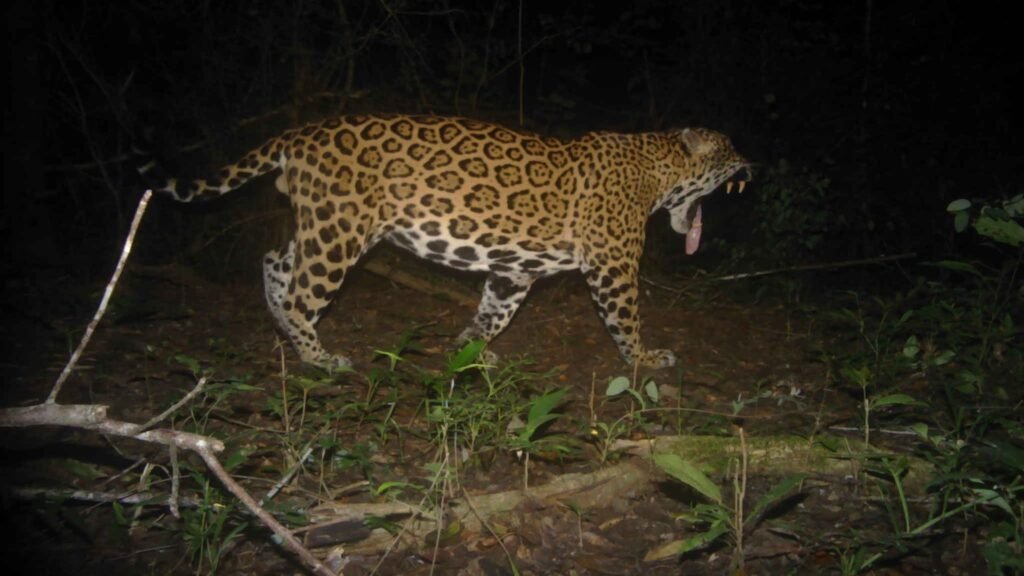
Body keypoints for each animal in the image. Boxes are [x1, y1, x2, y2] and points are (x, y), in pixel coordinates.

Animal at [142, 114, 751, 370]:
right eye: (729, 149)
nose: (752, 165)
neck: (659, 170)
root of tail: (302, 132)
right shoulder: (614, 265)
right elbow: (627, 319)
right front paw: (646, 358)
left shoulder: (513, 271)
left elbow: (492, 314)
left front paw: (469, 351)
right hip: (340, 230)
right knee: (300, 292)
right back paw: (319, 357)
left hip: (322, 223)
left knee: (275, 260)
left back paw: (286, 332)